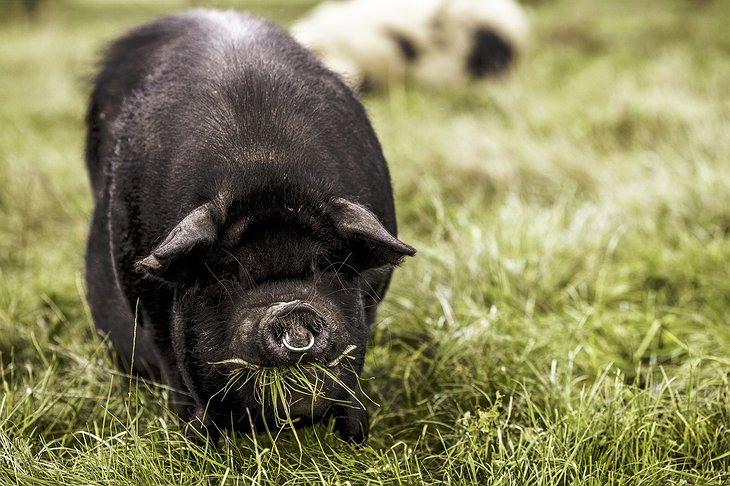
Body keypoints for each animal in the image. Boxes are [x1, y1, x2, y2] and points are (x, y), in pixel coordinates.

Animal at [84, 10, 416, 444]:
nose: (293, 307)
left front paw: (357, 437)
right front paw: (196, 438)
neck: (264, 166)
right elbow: (172, 362)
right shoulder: (144, 293)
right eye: (229, 273)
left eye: (326, 266)